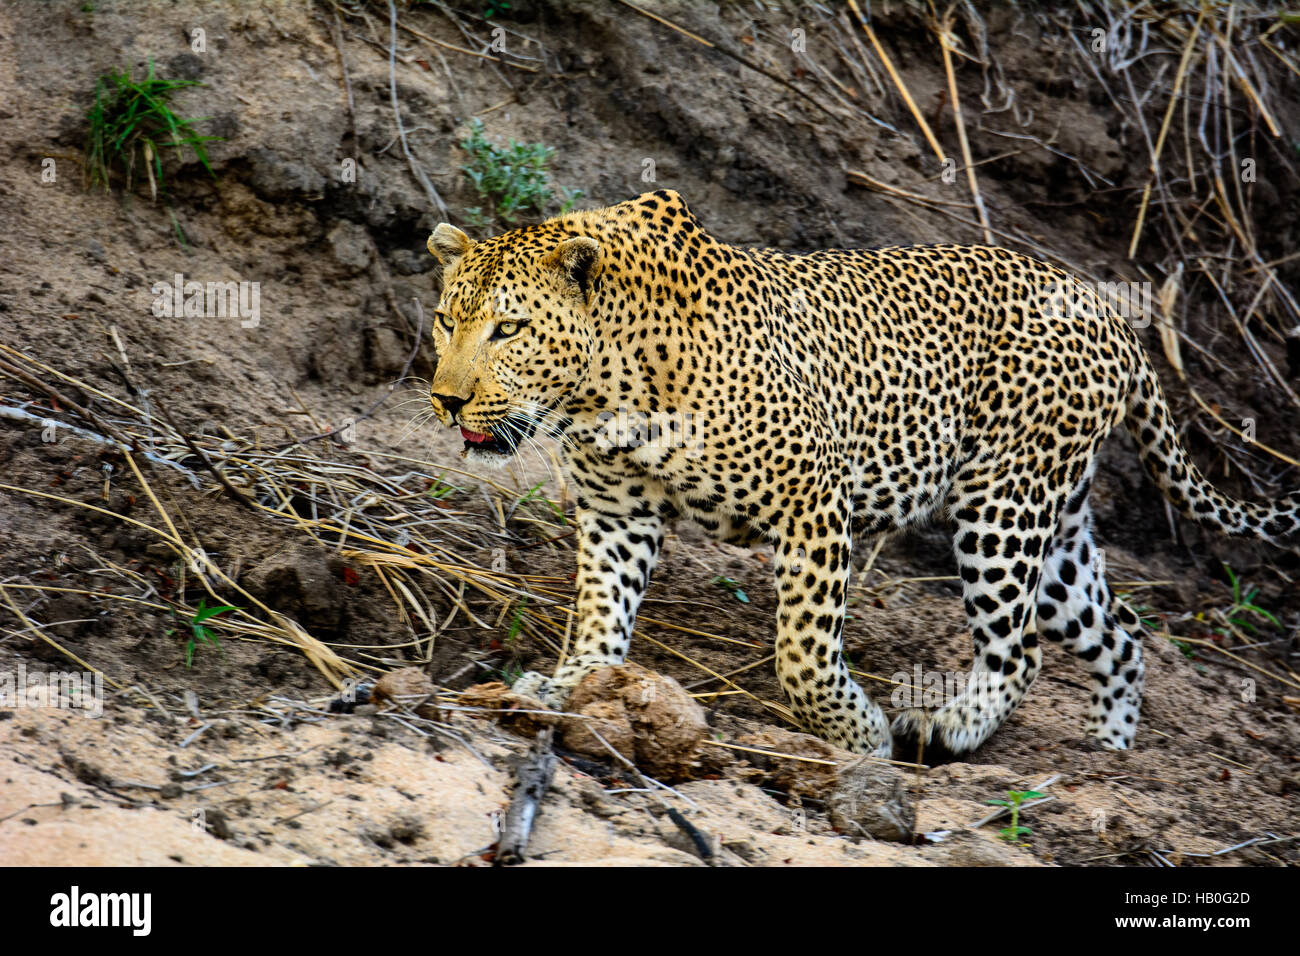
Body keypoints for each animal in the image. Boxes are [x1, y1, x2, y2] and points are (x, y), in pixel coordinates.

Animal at [421, 191, 1294, 764]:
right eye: (445, 320)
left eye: (510, 328)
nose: (447, 398)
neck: (603, 386)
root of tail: (1107, 307)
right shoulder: (616, 514)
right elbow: (600, 614)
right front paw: (572, 683)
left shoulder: (812, 501)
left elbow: (802, 652)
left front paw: (857, 734)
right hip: (1055, 526)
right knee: (1120, 632)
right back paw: (1109, 748)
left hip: (1000, 504)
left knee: (1020, 649)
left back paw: (952, 726)